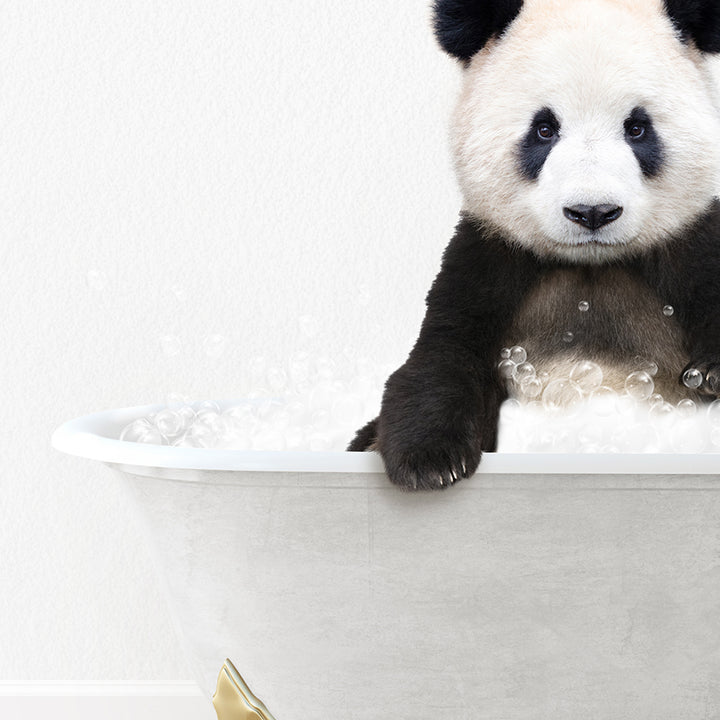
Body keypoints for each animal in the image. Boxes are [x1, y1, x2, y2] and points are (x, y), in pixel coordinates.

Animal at [348, 0, 720, 490]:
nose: (592, 212)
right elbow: (444, 355)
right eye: (544, 129)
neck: (591, 266)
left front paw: (711, 375)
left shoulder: (691, 244)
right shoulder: (489, 257)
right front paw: (429, 462)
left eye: (638, 128)